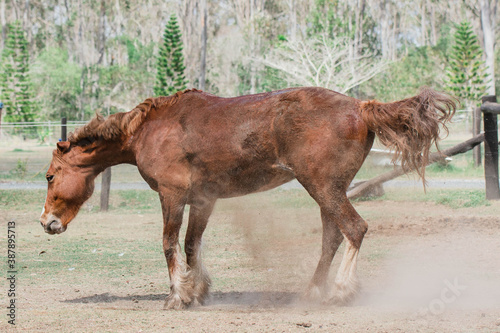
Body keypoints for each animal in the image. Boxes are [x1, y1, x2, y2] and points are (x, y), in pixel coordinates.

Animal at [39, 86, 456, 308]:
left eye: (49, 176)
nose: (46, 222)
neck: (149, 129)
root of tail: (361, 107)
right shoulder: (203, 200)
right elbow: (191, 244)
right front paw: (199, 291)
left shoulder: (173, 196)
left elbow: (170, 244)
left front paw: (177, 296)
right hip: (328, 191)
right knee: (332, 237)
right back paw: (311, 291)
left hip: (323, 188)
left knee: (354, 229)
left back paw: (340, 291)